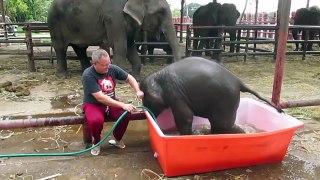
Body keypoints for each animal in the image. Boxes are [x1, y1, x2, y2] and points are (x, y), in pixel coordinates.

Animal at [48, 0, 181, 77]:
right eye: (162, 11)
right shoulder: (114, 17)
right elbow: (120, 45)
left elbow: (129, 45)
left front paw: (135, 76)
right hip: (55, 21)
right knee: (60, 47)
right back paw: (62, 75)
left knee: (80, 48)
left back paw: (86, 70)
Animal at [140, 56, 282, 135]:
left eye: (145, 96)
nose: (146, 111)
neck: (158, 75)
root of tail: (238, 81)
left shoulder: (175, 93)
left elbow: (185, 117)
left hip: (226, 101)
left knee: (222, 125)